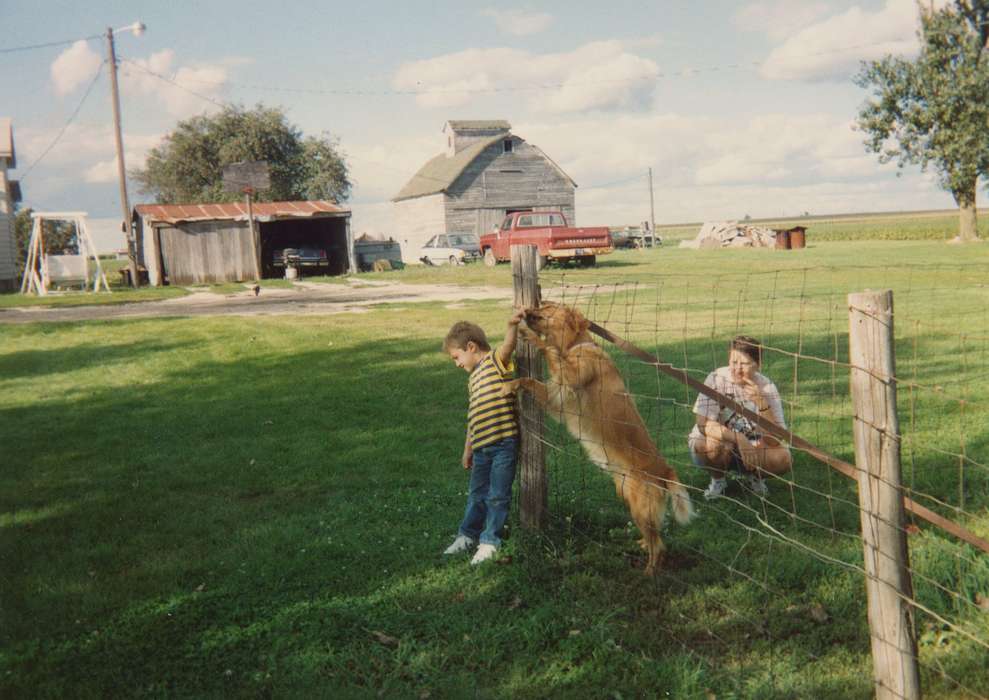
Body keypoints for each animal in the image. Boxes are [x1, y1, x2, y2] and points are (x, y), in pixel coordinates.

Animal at [502, 300, 696, 576]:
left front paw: (530, 336)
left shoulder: (570, 380)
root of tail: (666, 470)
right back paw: (641, 544)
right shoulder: (556, 397)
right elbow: (528, 379)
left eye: (546, 306)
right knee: (654, 536)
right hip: (629, 499)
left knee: (659, 545)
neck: (574, 346)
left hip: (641, 507)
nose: (526, 310)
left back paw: (649, 571)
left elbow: (549, 350)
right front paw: (509, 385)